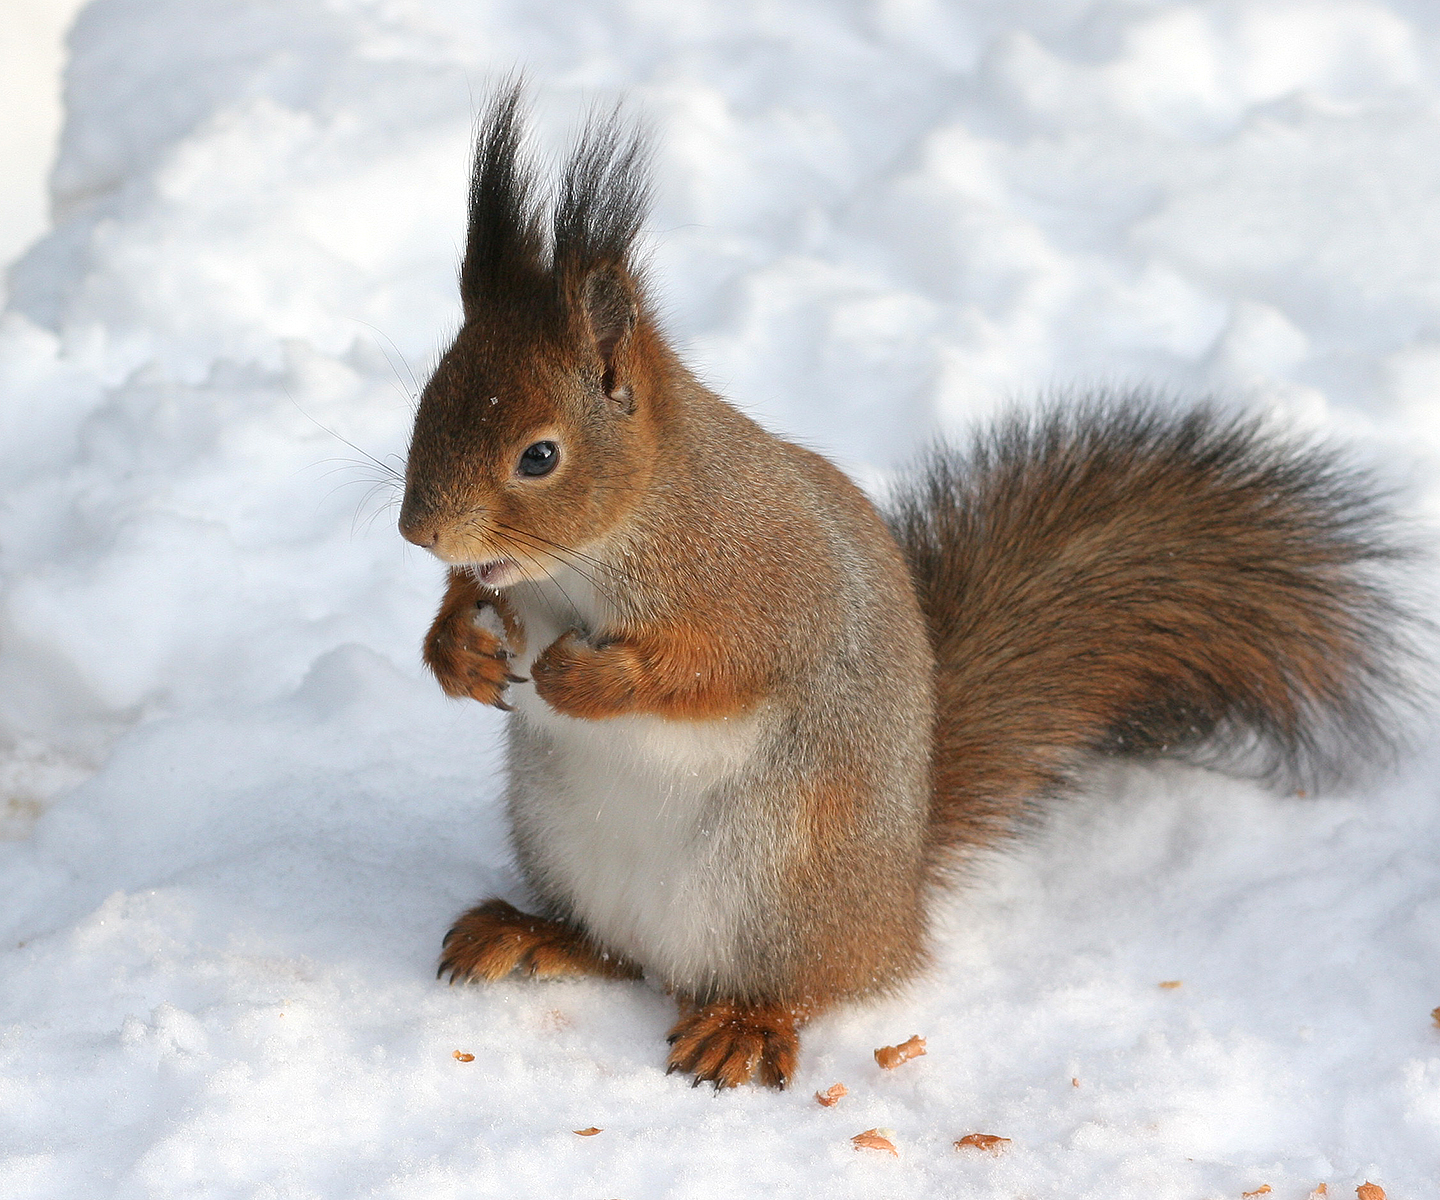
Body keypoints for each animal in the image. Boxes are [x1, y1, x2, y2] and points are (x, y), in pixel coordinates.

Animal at [400, 88, 1411, 1089]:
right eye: (427, 399)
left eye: (540, 456)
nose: (419, 531)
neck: (598, 551)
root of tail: (897, 911)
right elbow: (468, 606)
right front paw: (456, 649)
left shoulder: (763, 578)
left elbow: (720, 667)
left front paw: (585, 677)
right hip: (563, 839)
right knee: (613, 952)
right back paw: (531, 934)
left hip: (783, 881)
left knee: (799, 985)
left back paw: (743, 1026)